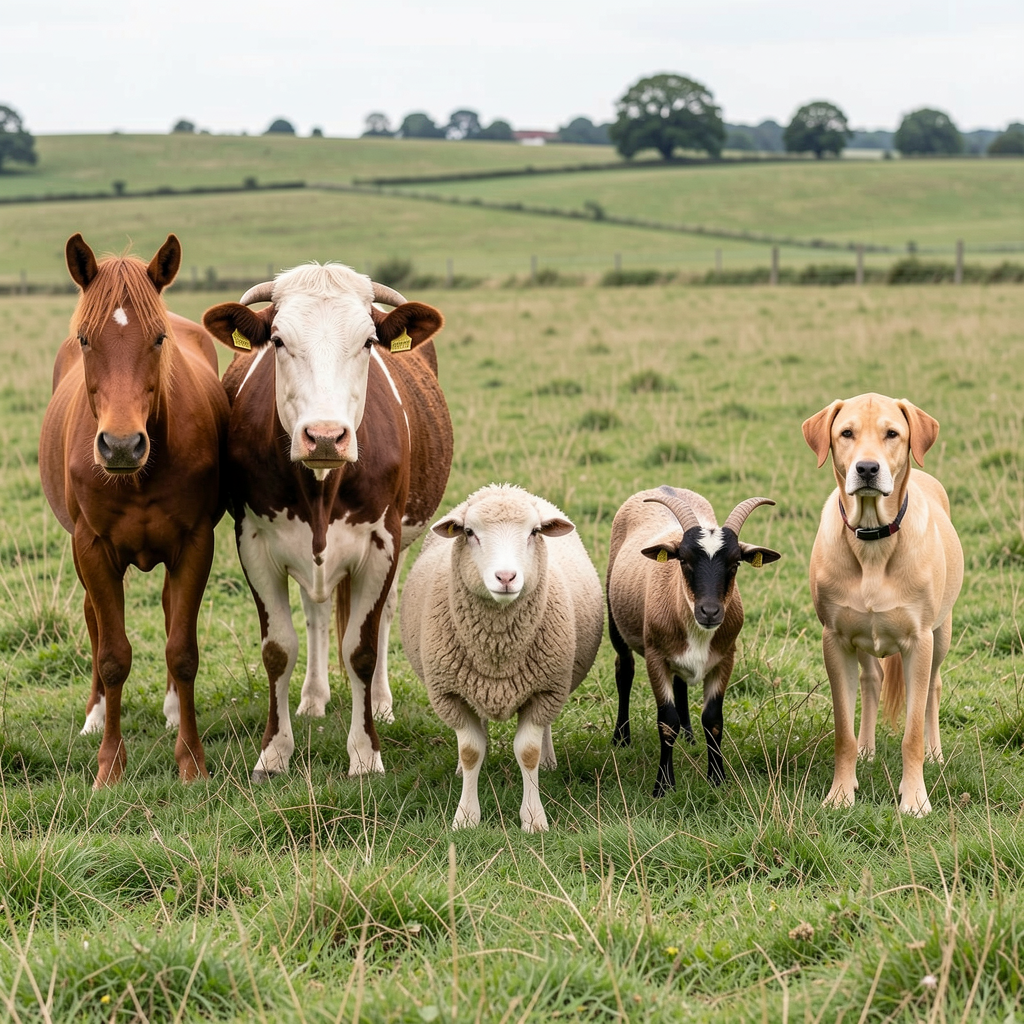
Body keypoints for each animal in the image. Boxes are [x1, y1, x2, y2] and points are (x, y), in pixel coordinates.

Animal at [39, 233, 230, 787]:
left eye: (159, 339)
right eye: (85, 340)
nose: (121, 446)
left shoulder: (195, 544)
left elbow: (182, 651)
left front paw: (192, 761)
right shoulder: (92, 548)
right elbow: (112, 656)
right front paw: (109, 766)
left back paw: (170, 709)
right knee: (92, 619)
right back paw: (94, 714)